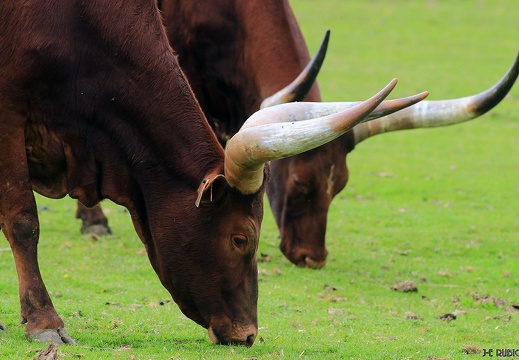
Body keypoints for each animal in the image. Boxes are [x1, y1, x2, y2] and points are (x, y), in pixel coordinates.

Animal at [0, 0, 426, 346]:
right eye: (241, 238)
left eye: (340, 188)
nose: (247, 334)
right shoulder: (8, 112)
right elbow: (23, 221)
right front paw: (44, 321)